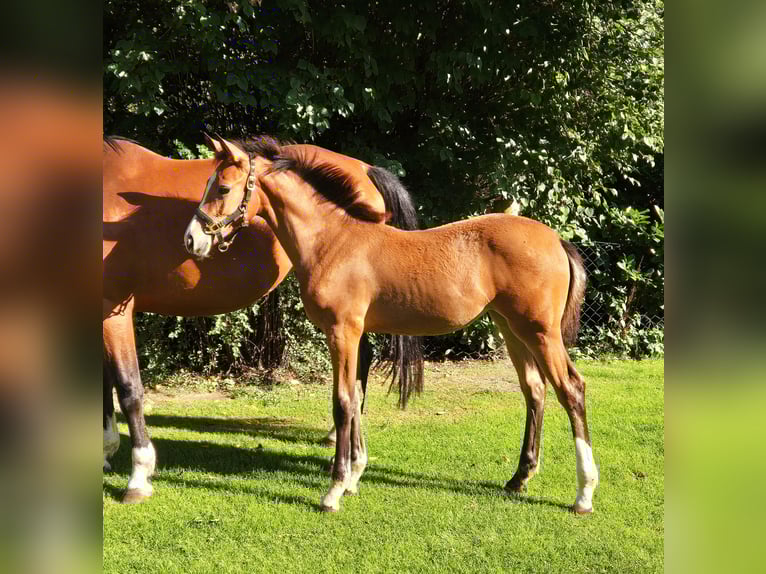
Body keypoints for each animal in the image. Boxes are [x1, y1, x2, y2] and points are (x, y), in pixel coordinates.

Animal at [103, 136, 422, 503]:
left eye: (223, 188)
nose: (190, 240)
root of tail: (364, 168)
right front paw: (106, 451)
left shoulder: (115, 309)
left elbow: (128, 388)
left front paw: (138, 476)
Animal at [184, 135, 598, 514]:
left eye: (223, 188)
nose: (192, 240)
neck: (333, 242)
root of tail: (557, 240)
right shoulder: (357, 335)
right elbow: (356, 397)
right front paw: (354, 475)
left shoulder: (343, 332)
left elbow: (343, 401)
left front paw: (334, 490)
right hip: (511, 329)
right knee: (535, 390)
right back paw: (519, 478)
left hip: (540, 332)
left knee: (571, 389)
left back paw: (583, 494)